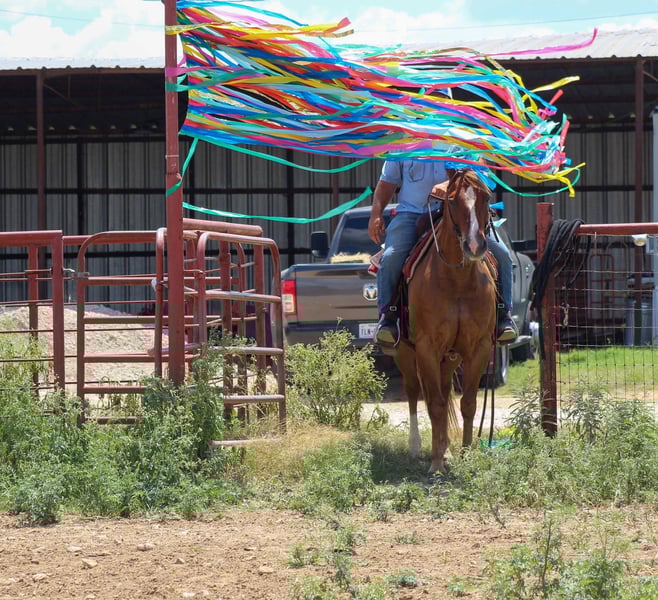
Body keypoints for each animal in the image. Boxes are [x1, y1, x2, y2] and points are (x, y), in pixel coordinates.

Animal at [396, 167, 497, 475]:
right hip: (404, 352)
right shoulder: (426, 348)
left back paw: (448, 449)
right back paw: (418, 447)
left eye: (487, 197)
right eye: (451, 201)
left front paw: (465, 454)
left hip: (449, 358)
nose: (475, 245)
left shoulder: (479, 348)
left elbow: (468, 403)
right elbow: (437, 405)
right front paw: (436, 463)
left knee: (441, 390)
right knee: (415, 392)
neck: (457, 282)